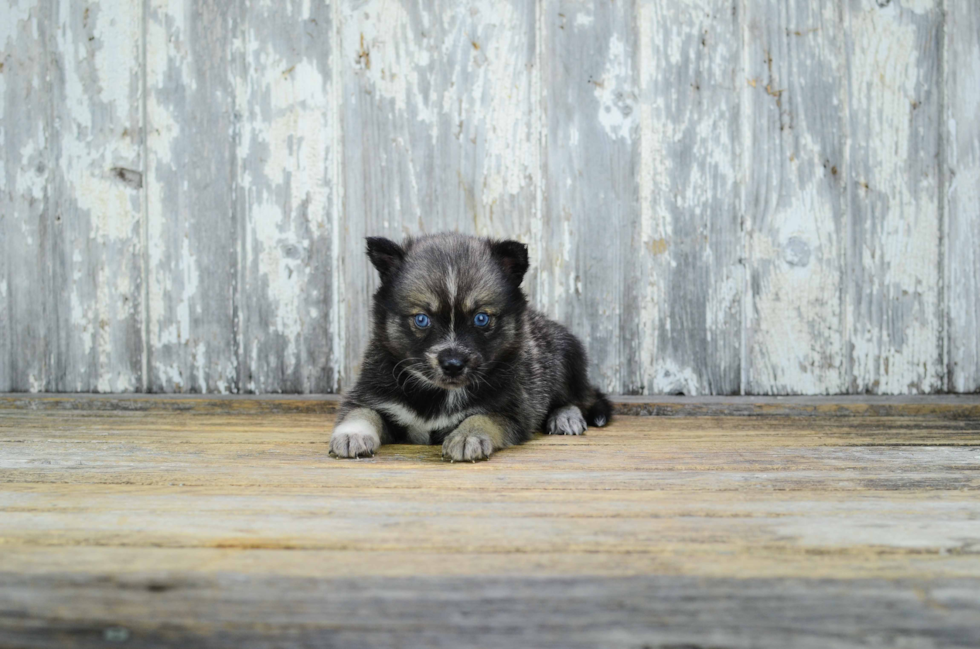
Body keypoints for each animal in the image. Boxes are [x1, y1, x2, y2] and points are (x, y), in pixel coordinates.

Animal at [332, 233, 612, 460]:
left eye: (481, 318)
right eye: (422, 319)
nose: (453, 365)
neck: (440, 393)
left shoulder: (508, 409)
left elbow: (481, 417)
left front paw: (467, 436)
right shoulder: (374, 396)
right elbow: (362, 412)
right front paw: (352, 434)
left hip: (566, 357)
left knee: (580, 397)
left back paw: (565, 416)